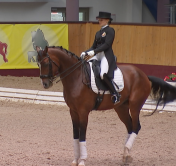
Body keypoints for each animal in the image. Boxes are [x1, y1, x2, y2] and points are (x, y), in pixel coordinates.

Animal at [36, 45, 176, 166]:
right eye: (38, 63)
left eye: (46, 63)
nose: (45, 84)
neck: (76, 77)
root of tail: (144, 75)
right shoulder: (73, 111)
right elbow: (75, 135)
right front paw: (75, 160)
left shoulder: (83, 112)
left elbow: (82, 135)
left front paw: (82, 160)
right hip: (121, 108)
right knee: (130, 127)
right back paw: (126, 155)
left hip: (135, 106)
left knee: (136, 127)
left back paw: (127, 152)